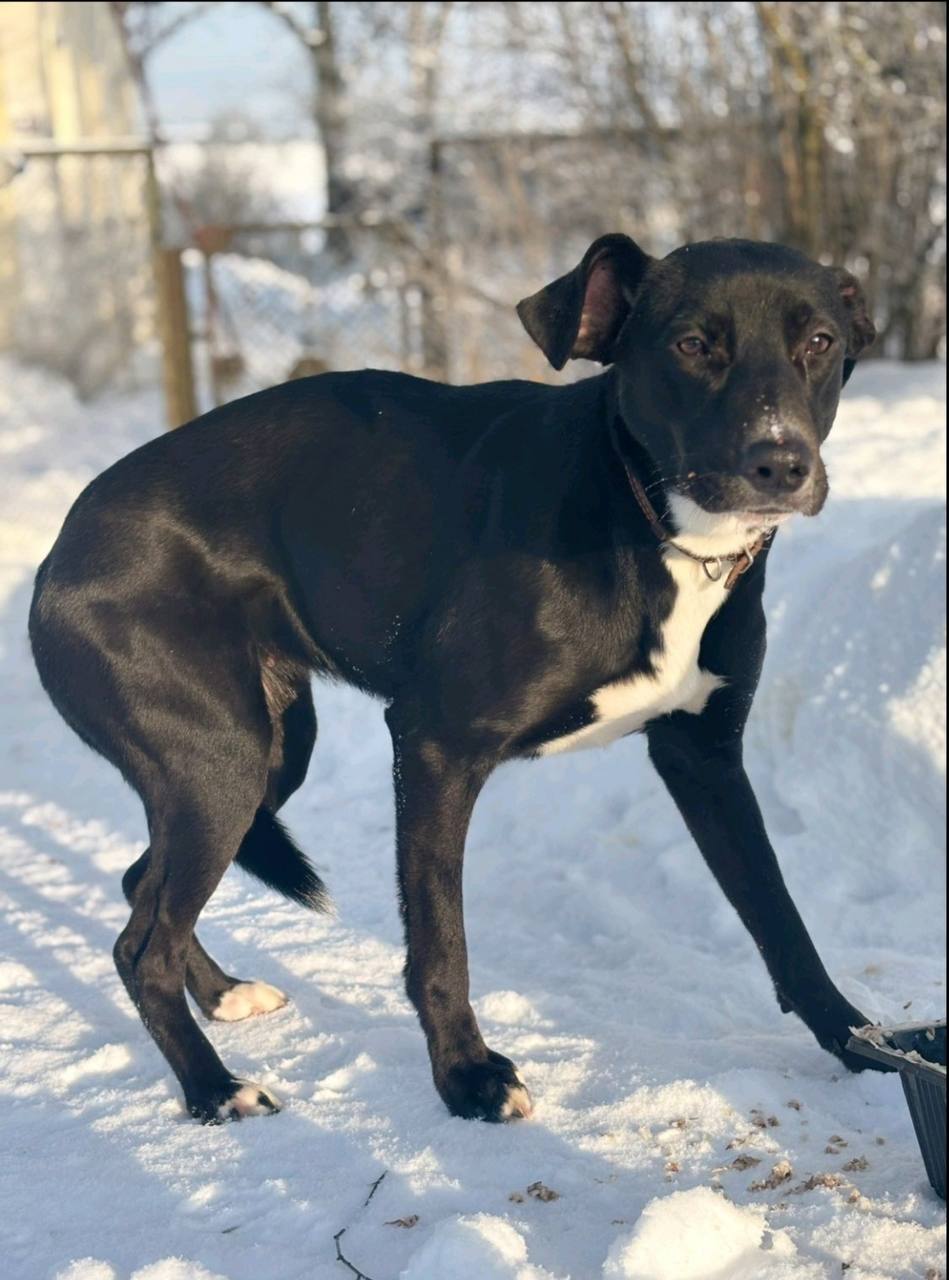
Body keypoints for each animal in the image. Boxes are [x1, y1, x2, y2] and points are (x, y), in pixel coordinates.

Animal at [29, 234, 884, 1124]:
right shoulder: (436, 745)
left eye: (818, 342)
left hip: (263, 753)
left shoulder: (705, 758)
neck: (642, 513)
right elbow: (440, 940)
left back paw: (227, 996)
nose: (780, 463)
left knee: (140, 886)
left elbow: (780, 920)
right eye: (690, 344)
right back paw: (213, 1087)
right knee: (142, 948)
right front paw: (467, 1077)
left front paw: (860, 1040)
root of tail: (62, 550)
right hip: (219, 764)